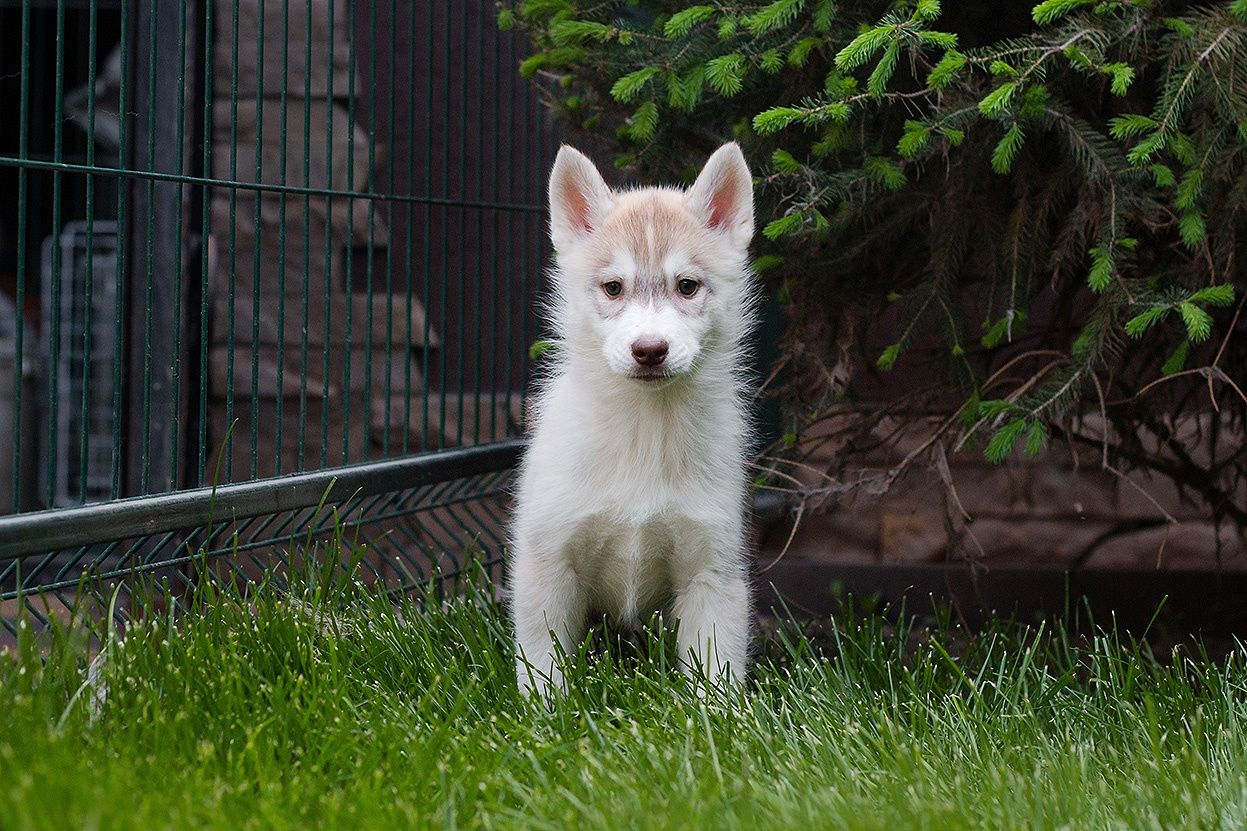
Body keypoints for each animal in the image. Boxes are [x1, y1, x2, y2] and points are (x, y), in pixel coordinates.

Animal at [508, 142, 758, 693]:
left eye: (686, 286)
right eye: (613, 287)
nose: (649, 350)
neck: (646, 430)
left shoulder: (712, 571)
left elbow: (716, 679)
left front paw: (715, 714)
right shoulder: (548, 562)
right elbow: (543, 670)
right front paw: (544, 713)